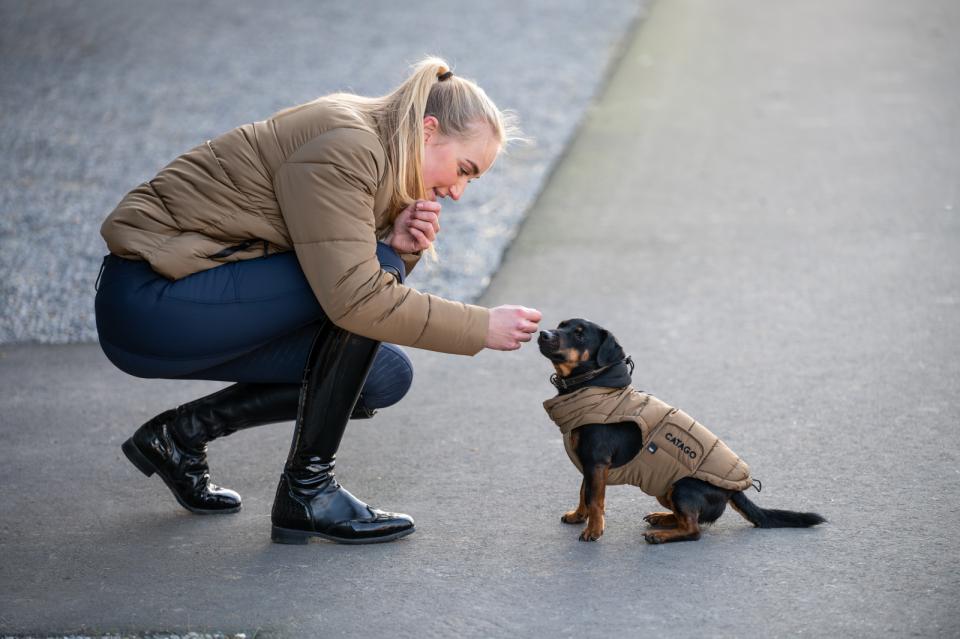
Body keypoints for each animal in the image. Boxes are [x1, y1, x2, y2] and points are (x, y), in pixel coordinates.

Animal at [540, 320, 824, 544]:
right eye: (561, 325)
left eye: (579, 335)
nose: (543, 333)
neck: (594, 386)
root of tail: (734, 491)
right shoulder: (589, 464)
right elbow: (584, 493)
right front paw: (579, 516)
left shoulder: (596, 461)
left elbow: (595, 500)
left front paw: (594, 530)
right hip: (664, 489)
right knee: (686, 520)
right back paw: (663, 519)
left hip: (682, 487)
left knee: (694, 530)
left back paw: (660, 535)